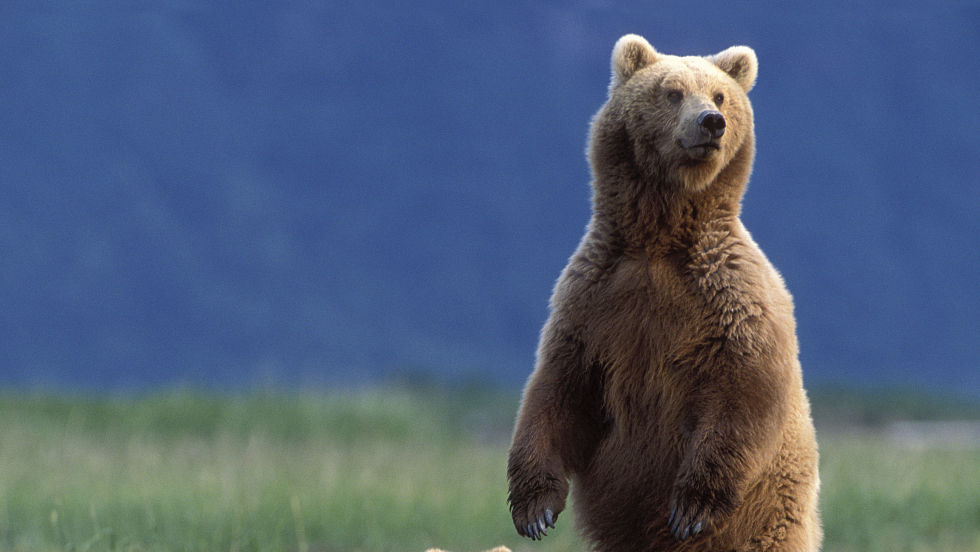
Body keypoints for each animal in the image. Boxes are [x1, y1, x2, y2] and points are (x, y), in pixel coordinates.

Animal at [506, 35, 820, 552]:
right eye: (672, 91)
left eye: (720, 95)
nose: (711, 122)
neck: (658, 238)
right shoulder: (593, 299)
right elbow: (558, 390)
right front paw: (535, 510)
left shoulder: (731, 297)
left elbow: (743, 393)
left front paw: (692, 508)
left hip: (772, 517)